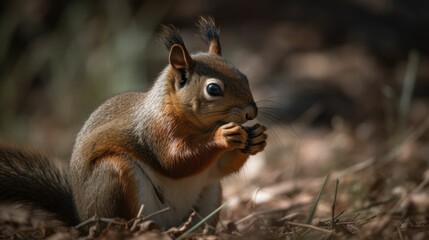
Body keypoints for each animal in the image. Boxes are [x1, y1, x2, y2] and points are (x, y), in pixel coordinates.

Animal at [0, 15, 266, 230]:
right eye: (213, 89)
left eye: (244, 76)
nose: (251, 112)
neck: (200, 127)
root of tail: (84, 221)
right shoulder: (156, 130)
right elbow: (175, 160)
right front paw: (223, 136)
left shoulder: (212, 165)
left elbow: (221, 167)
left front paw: (257, 138)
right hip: (114, 174)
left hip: (210, 194)